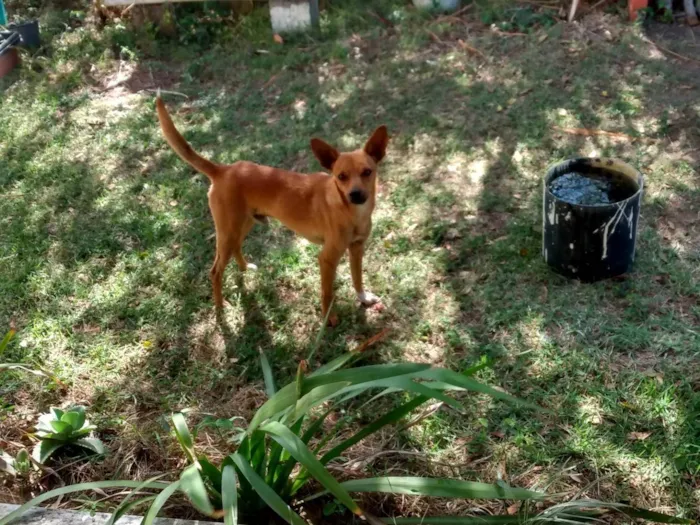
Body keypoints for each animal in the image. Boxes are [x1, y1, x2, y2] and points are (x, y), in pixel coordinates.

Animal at [154, 95, 392, 324]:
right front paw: (328, 318)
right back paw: (220, 309)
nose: (355, 194)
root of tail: (223, 170)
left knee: (236, 247)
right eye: (341, 176)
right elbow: (327, 293)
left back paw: (244, 268)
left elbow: (357, 277)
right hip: (228, 231)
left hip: (243, 224)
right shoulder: (327, 259)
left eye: (367, 172)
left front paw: (363, 298)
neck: (351, 211)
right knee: (215, 272)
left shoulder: (357, 249)